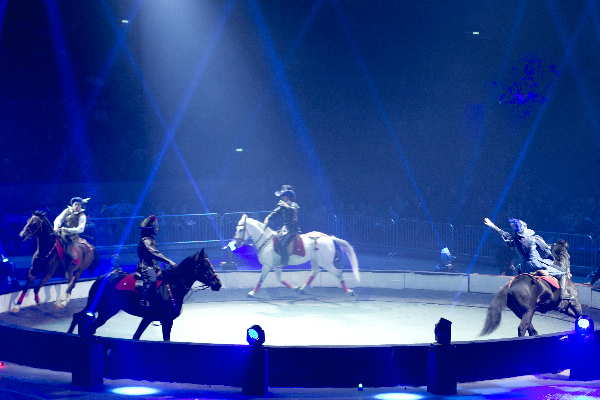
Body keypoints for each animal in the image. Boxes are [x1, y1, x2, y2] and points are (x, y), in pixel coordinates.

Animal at [68, 249, 221, 341]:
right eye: (204, 265)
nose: (217, 283)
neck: (170, 288)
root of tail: (102, 277)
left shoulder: (166, 321)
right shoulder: (151, 318)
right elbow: (136, 336)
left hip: (106, 310)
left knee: (83, 319)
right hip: (101, 308)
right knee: (80, 318)